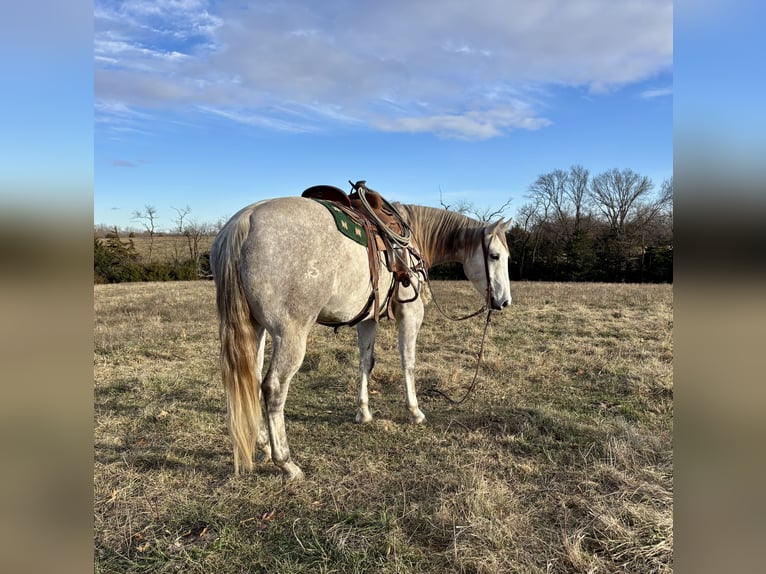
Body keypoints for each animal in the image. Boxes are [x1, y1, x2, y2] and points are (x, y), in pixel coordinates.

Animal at [210, 196, 512, 480]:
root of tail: (246, 219)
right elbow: (408, 362)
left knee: (251, 378)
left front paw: (364, 412)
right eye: (495, 256)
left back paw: (262, 443)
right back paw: (286, 462)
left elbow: (366, 362)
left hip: (255, 328)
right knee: (273, 387)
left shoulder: (367, 319)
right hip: (290, 334)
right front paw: (415, 411)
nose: (504, 302)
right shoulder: (411, 314)